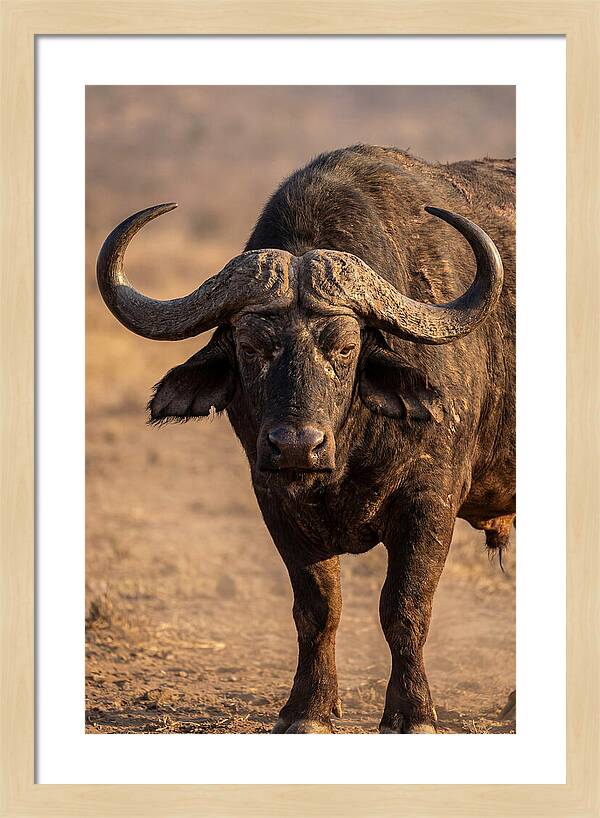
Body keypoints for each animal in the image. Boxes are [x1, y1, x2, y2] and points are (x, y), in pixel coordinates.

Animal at [97, 144, 515, 734]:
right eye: (251, 346)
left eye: (345, 347)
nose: (296, 445)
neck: (347, 452)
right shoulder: (275, 501)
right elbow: (318, 609)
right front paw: (309, 710)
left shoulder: (430, 502)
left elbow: (405, 607)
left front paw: (413, 713)